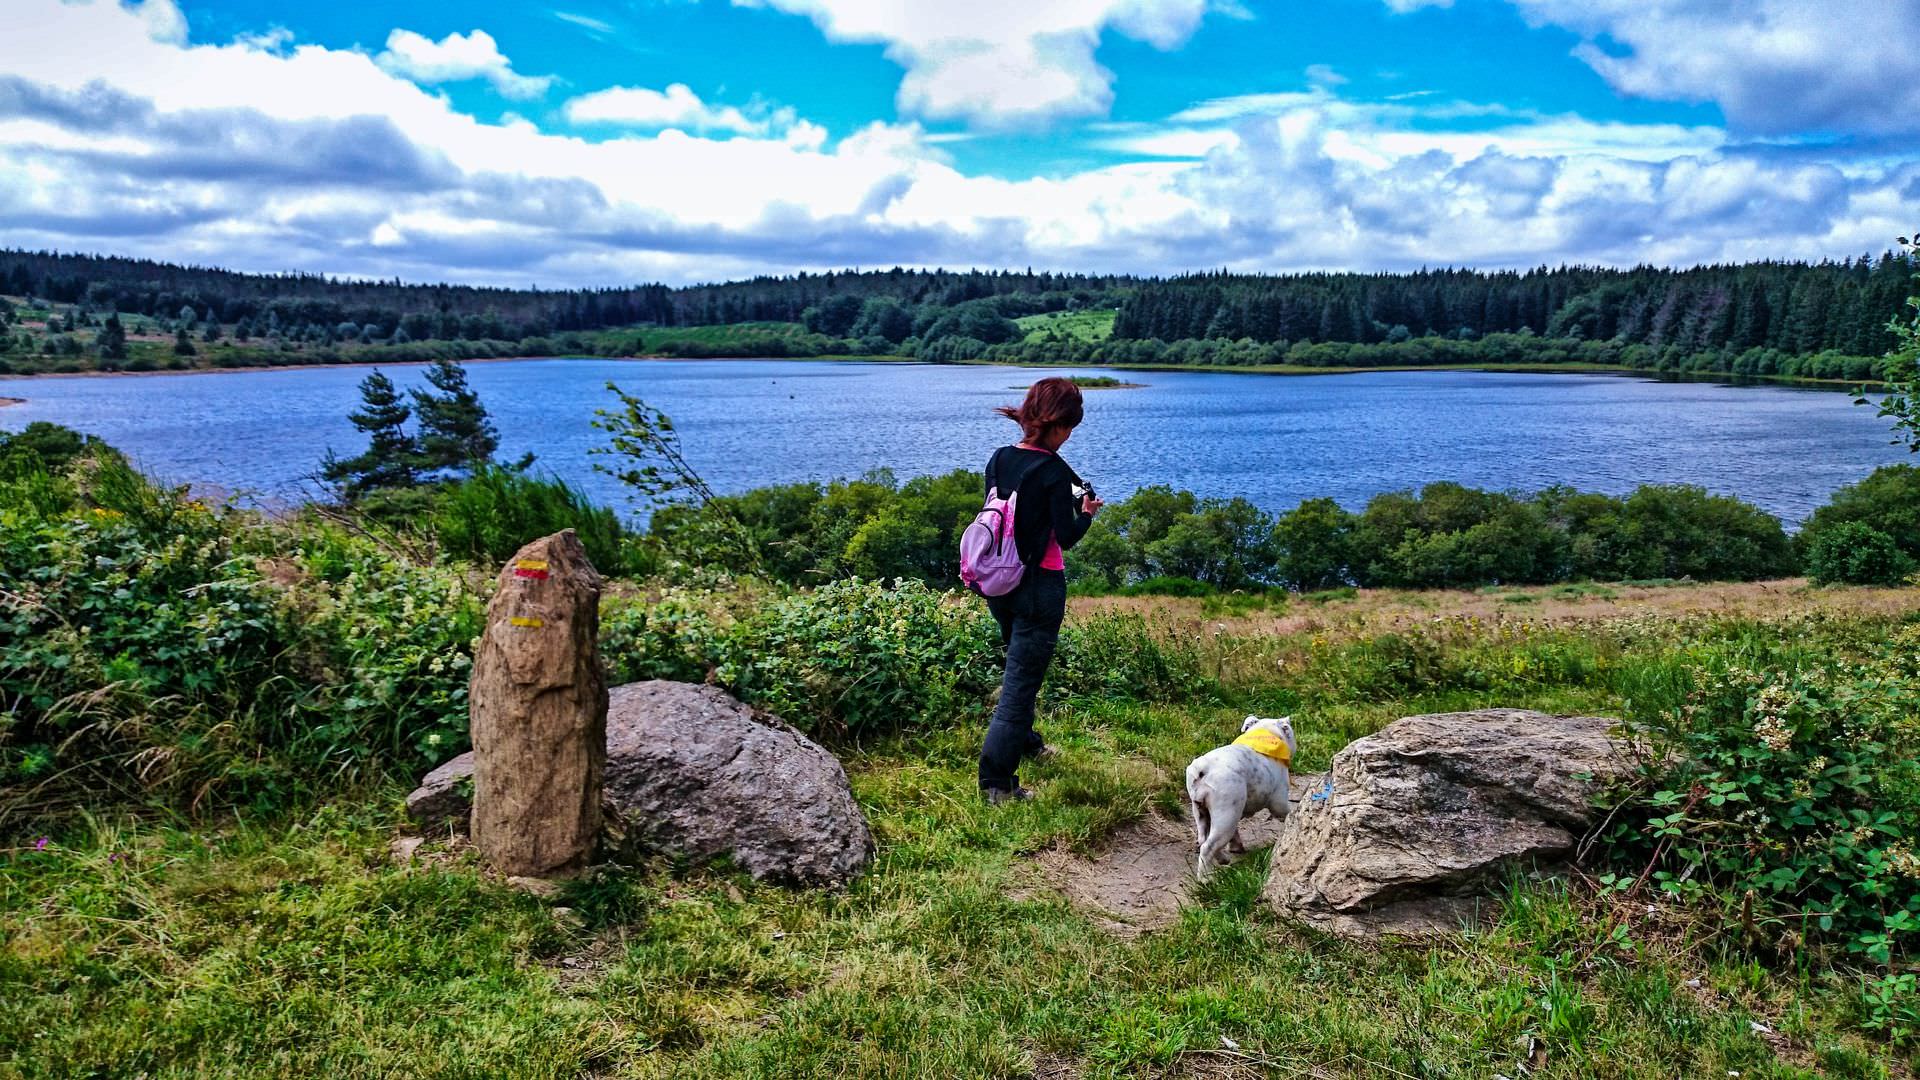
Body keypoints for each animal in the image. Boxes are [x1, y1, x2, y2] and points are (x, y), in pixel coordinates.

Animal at [1175, 714, 1297, 876]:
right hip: (1226, 815)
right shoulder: (1279, 801)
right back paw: (1205, 878)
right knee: (1208, 847)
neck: (1264, 733)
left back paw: (1222, 858)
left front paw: (1235, 847)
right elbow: (1287, 811)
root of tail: (1203, 769)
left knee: (1203, 839)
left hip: (1201, 811)